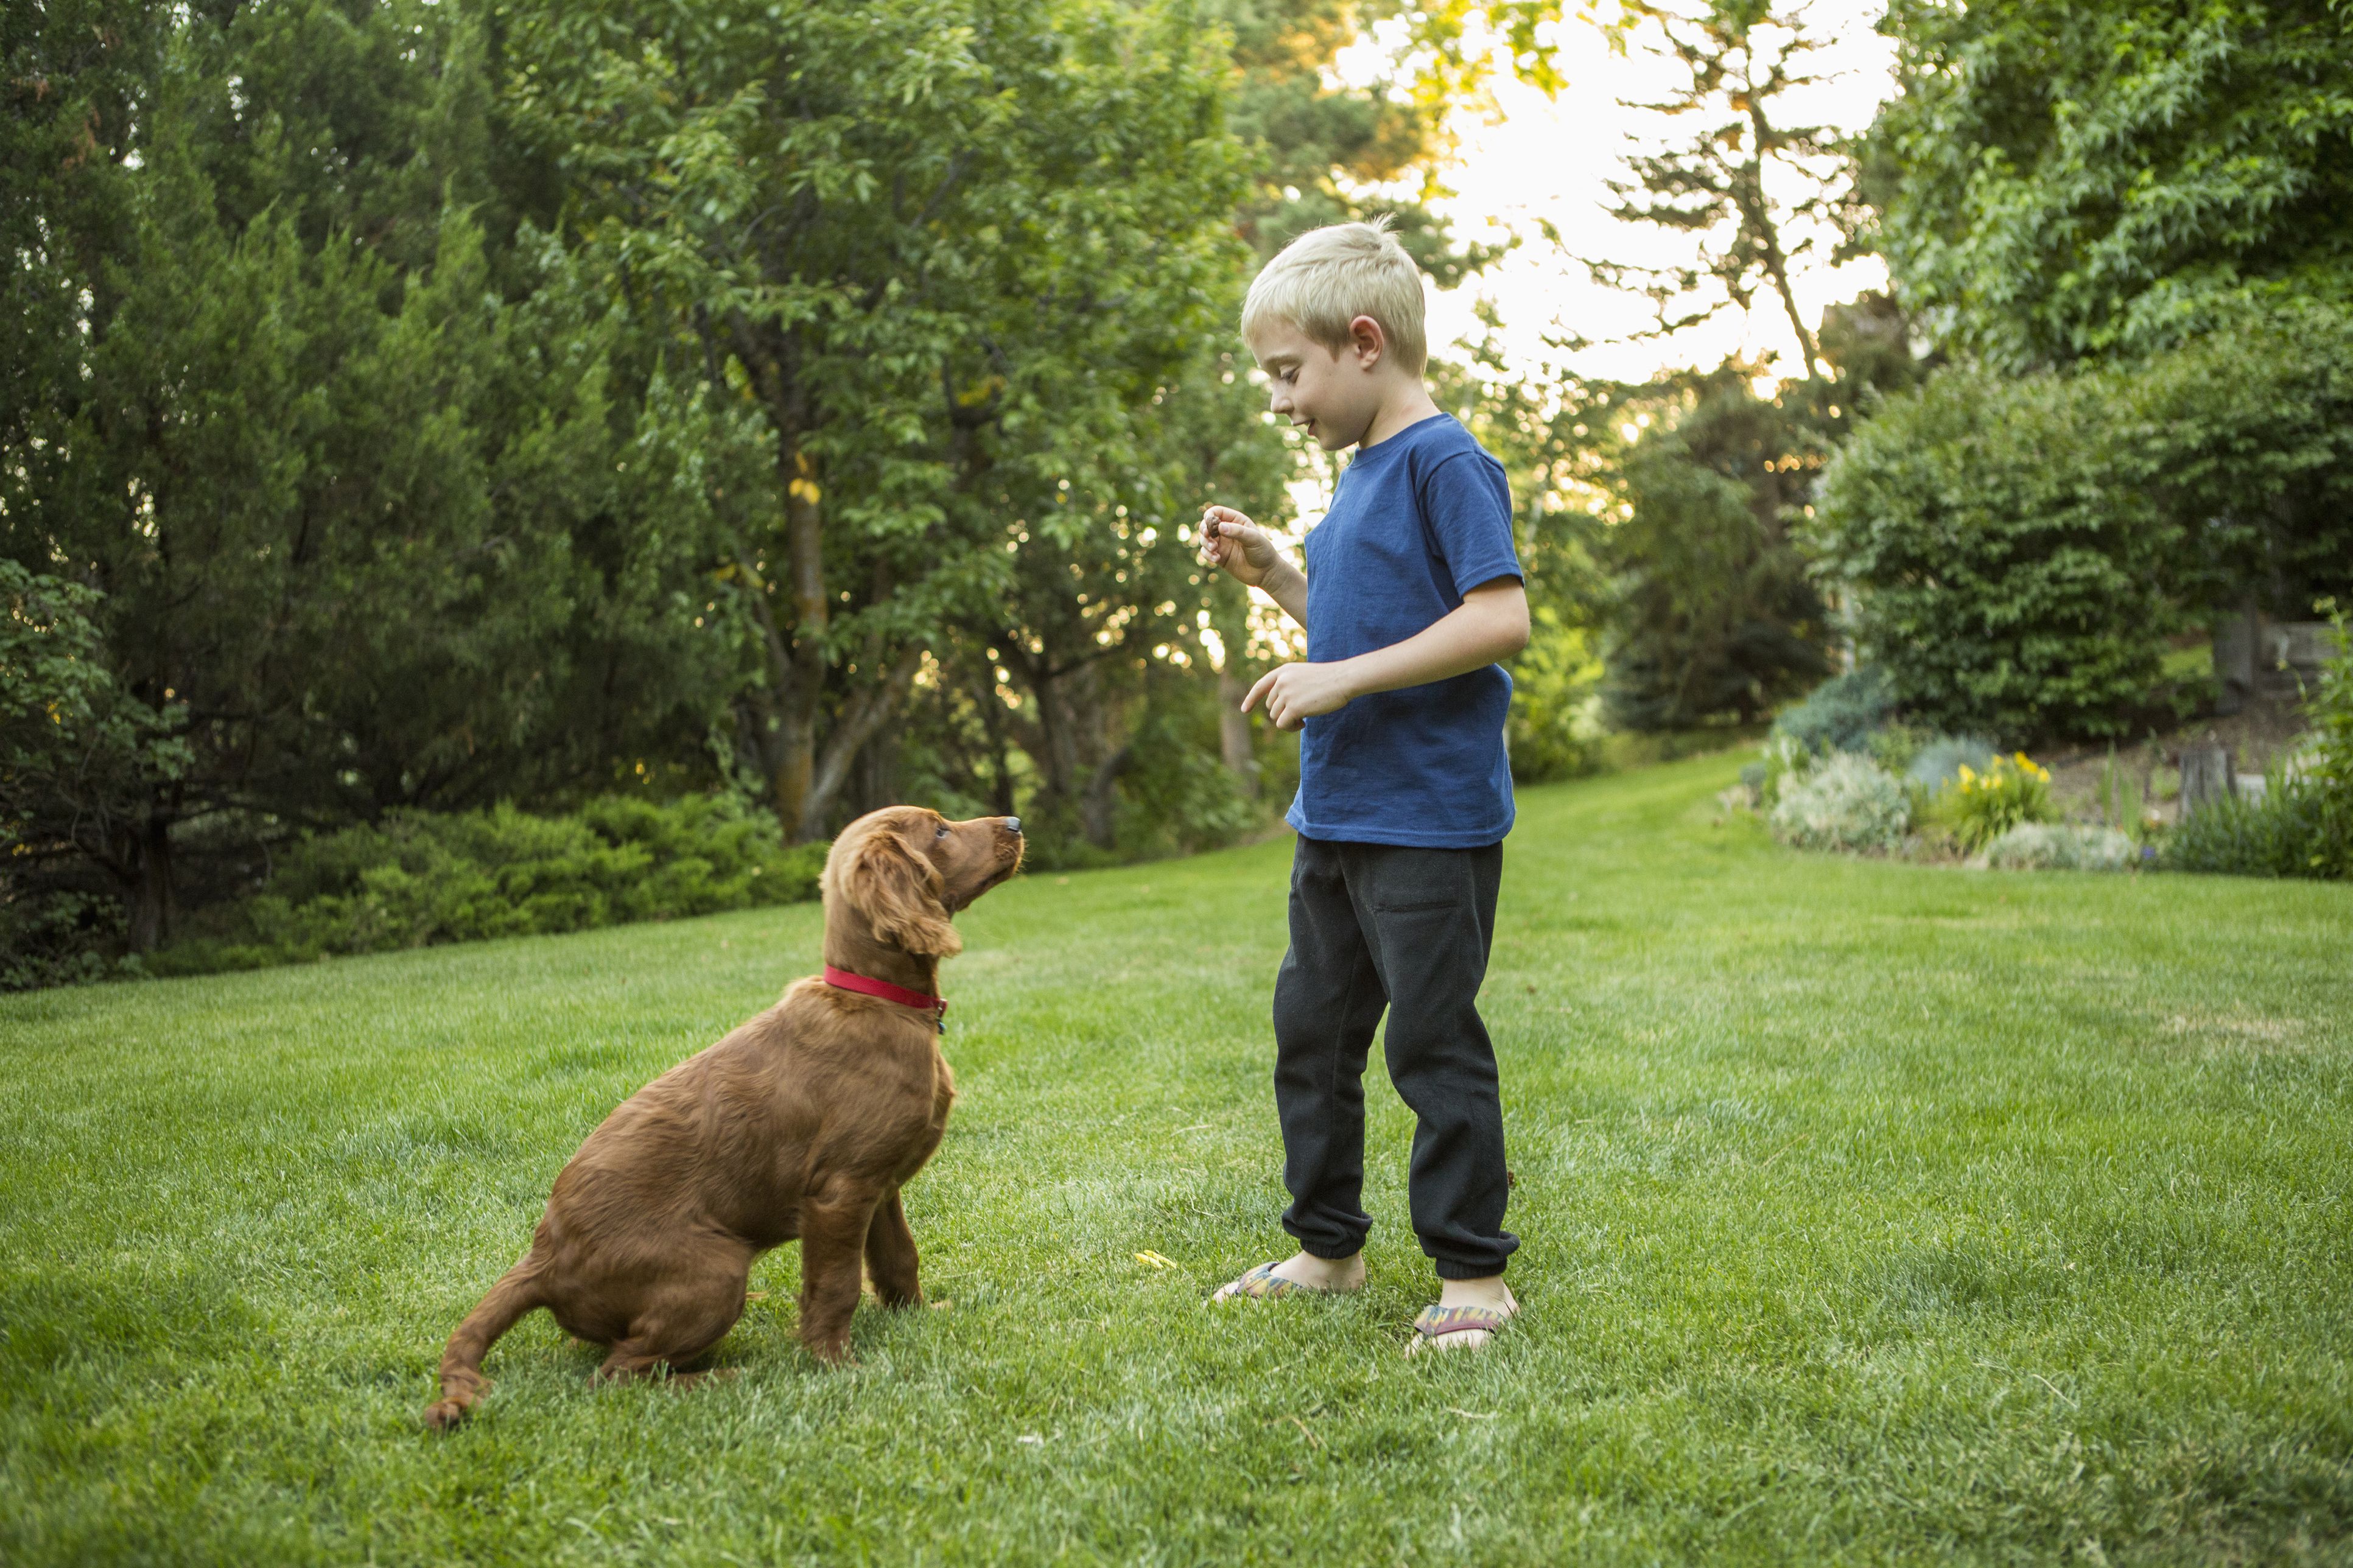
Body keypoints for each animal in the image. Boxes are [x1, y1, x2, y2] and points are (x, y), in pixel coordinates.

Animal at [423, 800, 1021, 1422]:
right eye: (940, 831)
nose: (1016, 823)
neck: (878, 1000)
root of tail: (544, 1259)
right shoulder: (840, 1192)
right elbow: (836, 1286)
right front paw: (836, 1366)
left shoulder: (880, 1185)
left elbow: (899, 1258)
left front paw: (919, 1317)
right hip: (716, 1268)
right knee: (618, 1375)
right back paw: (727, 1377)